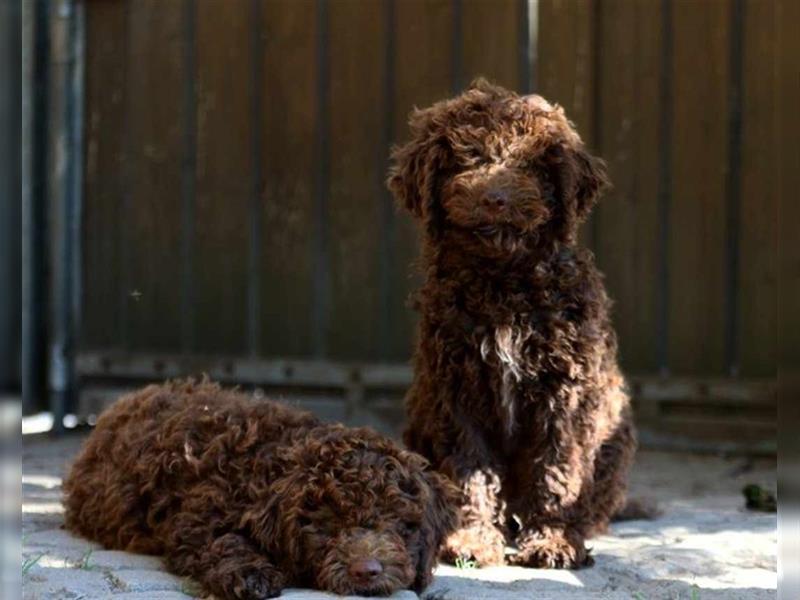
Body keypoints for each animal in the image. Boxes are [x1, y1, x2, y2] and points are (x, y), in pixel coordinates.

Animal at [388, 78, 636, 568]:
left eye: (529, 162)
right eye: (468, 157)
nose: (495, 199)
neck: (503, 281)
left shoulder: (565, 391)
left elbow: (557, 467)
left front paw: (554, 540)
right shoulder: (455, 387)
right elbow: (470, 467)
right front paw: (472, 538)